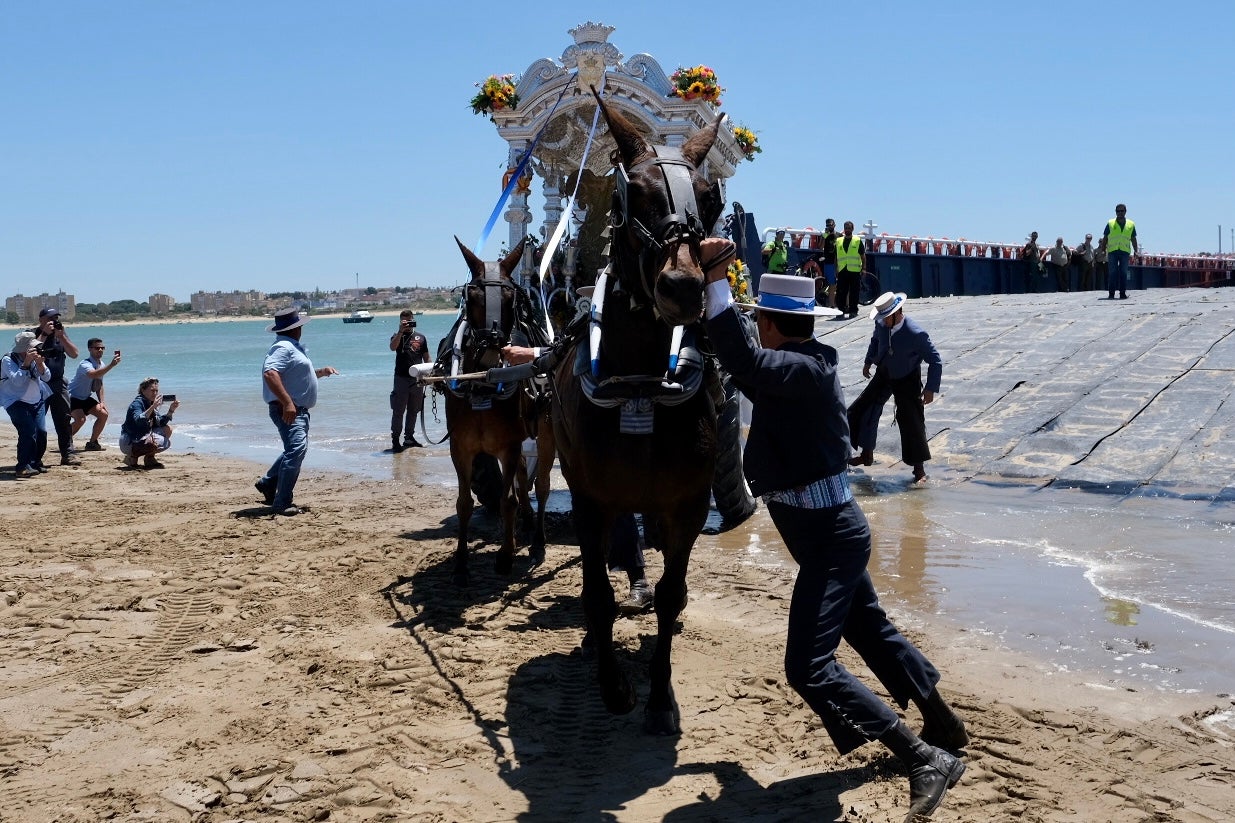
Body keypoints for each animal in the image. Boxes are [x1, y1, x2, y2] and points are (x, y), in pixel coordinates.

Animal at [442, 236, 553, 583]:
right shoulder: (461, 447)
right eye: (472, 295)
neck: (482, 385)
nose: (492, 345)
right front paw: (460, 562)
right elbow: (464, 503)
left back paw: (537, 540)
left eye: (509, 296)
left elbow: (507, 500)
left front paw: (505, 556)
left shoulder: (509, 444)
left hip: (546, 433)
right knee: (524, 476)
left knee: (542, 485)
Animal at [550, 91, 721, 731]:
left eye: (711, 197)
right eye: (635, 194)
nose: (682, 287)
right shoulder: (589, 498)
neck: (640, 386)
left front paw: (661, 696)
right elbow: (595, 591)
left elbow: (672, 592)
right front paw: (613, 684)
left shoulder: (687, 503)